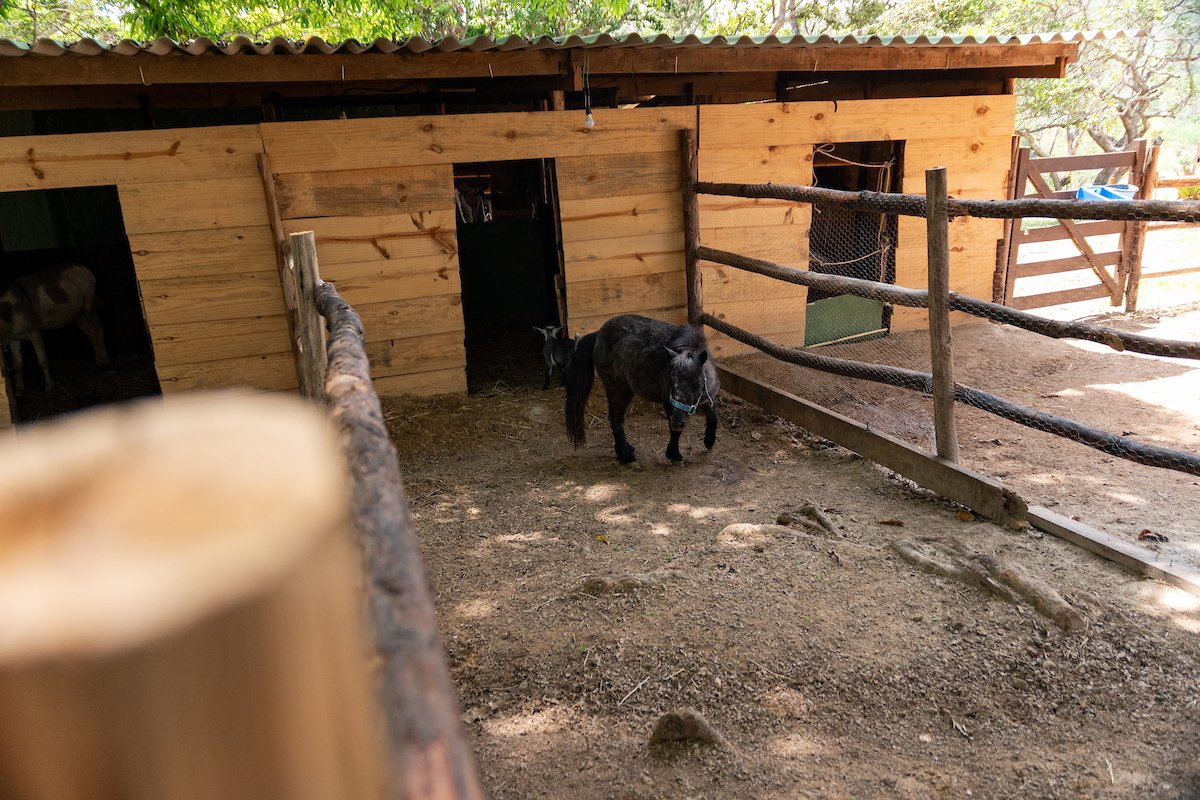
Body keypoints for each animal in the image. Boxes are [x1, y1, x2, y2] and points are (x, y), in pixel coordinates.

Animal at [564, 311, 720, 462]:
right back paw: (626, 455)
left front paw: (709, 441)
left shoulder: (703, 401)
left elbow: (713, 416)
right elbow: (675, 431)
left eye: (696, 383)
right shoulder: (669, 402)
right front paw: (674, 454)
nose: (676, 422)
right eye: (671, 380)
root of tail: (598, 334)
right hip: (618, 389)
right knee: (615, 419)